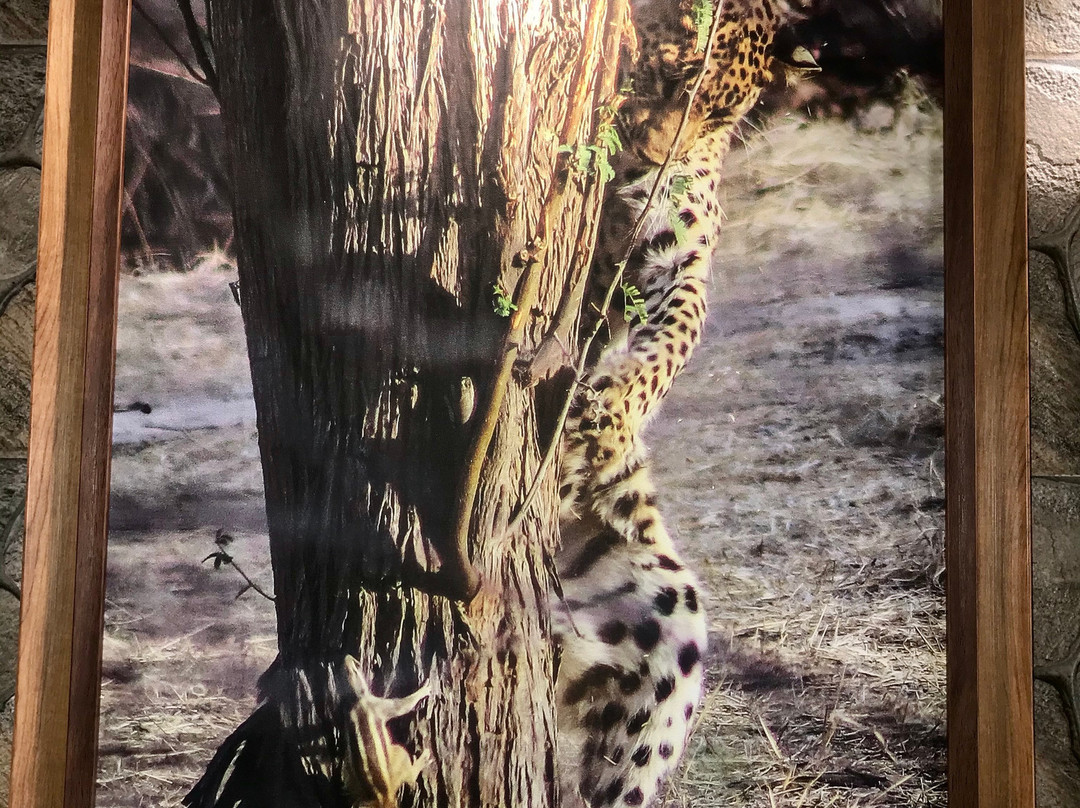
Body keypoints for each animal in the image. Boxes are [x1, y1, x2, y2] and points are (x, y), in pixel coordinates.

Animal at [551, 1, 815, 805]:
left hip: (671, 615)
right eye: (664, 76)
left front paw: (605, 415)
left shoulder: (681, 256)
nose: (647, 163)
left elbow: (671, 338)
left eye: (719, 113)